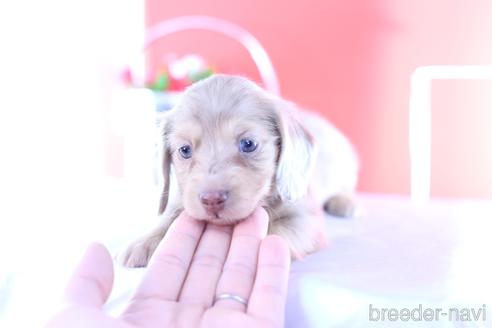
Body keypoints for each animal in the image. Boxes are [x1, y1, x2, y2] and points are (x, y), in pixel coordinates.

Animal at [119, 74, 358, 266]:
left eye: (249, 144)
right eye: (184, 150)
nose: (211, 200)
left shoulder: (306, 220)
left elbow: (276, 231)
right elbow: (170, 214)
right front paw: (146, 241)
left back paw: (345, 202)